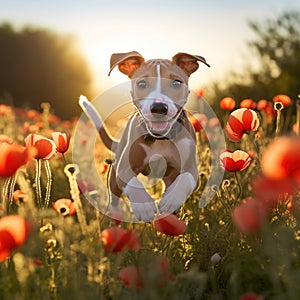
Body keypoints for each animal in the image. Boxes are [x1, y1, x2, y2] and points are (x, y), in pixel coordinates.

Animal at [81, 50, 210, 221]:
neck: (159, 138)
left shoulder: (192, 169)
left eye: (176, 83)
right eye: (142, 84)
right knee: (114, 197)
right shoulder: (123, 167)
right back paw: (114, 216)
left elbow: (186, 178)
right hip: (114, 175)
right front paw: (144, 205)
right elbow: (132, 182)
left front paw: (172, 199)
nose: (159, 108)